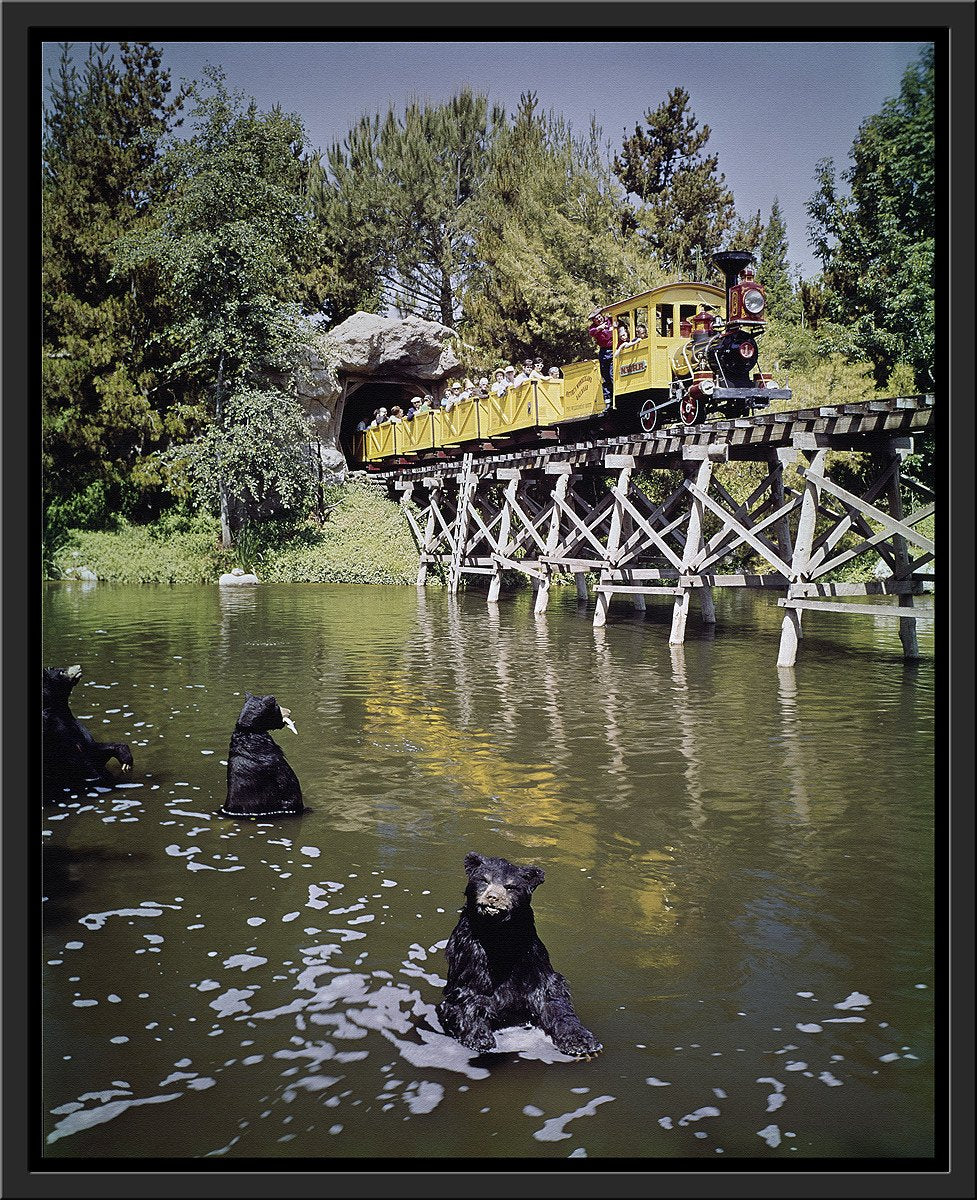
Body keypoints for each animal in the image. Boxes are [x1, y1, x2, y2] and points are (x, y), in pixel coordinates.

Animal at [42, 665, 133, 793]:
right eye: (61, 672)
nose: (78, 666)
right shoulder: (53, 731)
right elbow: (79, 764)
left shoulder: (75, 725)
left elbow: (92, 749)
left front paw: (125, 757)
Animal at [436, 852, 602, 1058]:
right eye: (483, 880)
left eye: (510, 886)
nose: (492, 897)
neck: (498, 937)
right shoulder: (470, 958)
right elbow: (467, 998)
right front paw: (479, 1037)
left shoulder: (532, 960)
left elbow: (553, 998)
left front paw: (582, 1042)